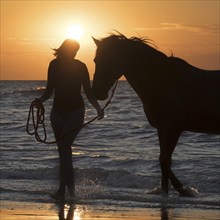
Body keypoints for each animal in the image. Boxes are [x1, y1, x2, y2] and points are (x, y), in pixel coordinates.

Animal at [91, 33, 220, 197]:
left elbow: (164, 160)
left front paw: (182, 189)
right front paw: (166, 191)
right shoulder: (161, 129)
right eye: (95, 60)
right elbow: (163, 160)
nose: (97, 92)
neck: (164, 81)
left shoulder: (172, 129)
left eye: (109, 59)